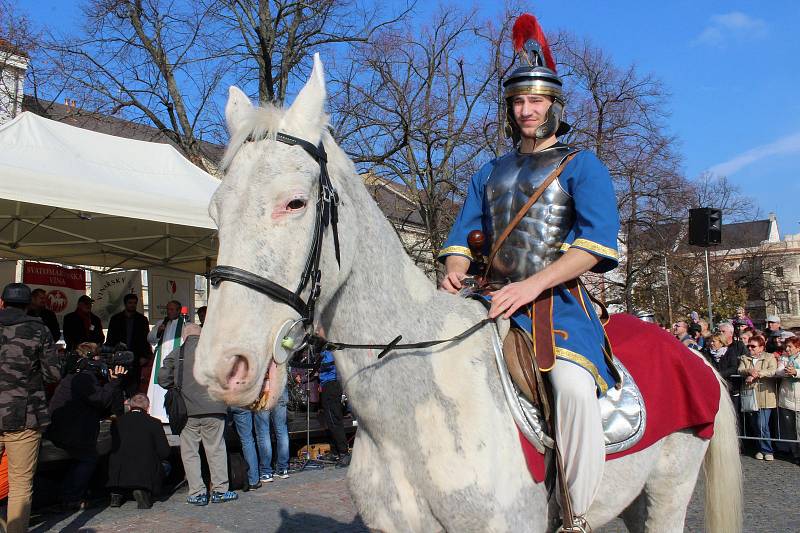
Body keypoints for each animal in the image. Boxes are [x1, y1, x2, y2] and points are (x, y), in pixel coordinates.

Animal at [194, 56, 744, 528]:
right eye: (216, 208)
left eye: (295, 202)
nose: (222, 367)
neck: (410, 408)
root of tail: (696, 357)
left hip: (666, 494)